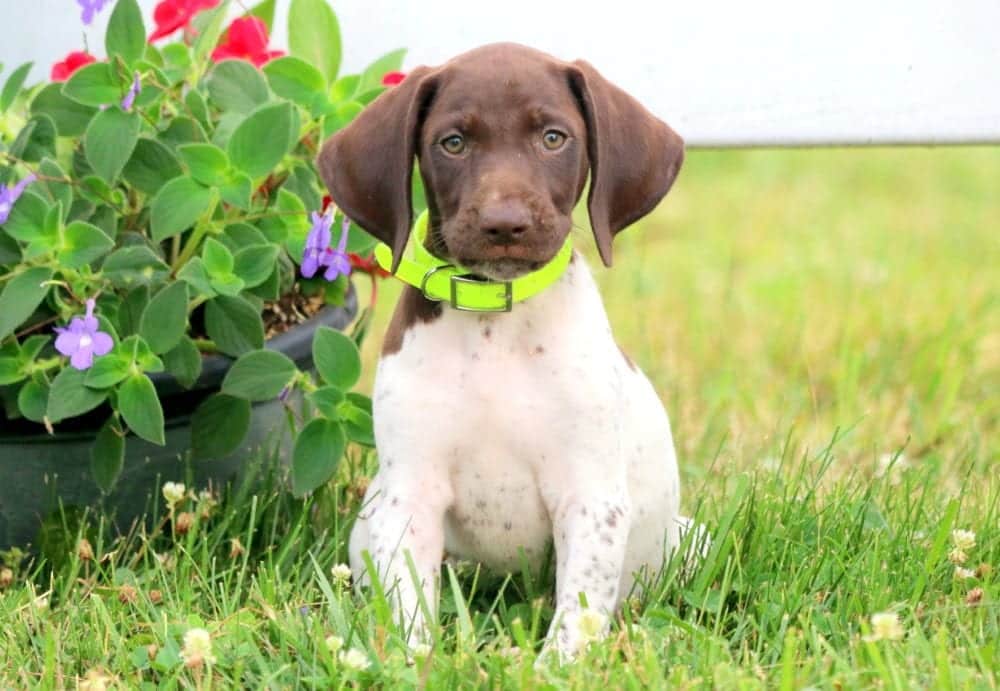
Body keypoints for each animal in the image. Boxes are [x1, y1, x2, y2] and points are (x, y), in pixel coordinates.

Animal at [320, 42, 696, 660]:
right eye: (453, 143)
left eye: (553, 138)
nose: (505, 225)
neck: (495, 324)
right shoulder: (410, 494)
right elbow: (410, 611)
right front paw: (416, 664)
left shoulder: (590, 497)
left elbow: (577, 614)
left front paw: (555, 668)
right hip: (367, 522)